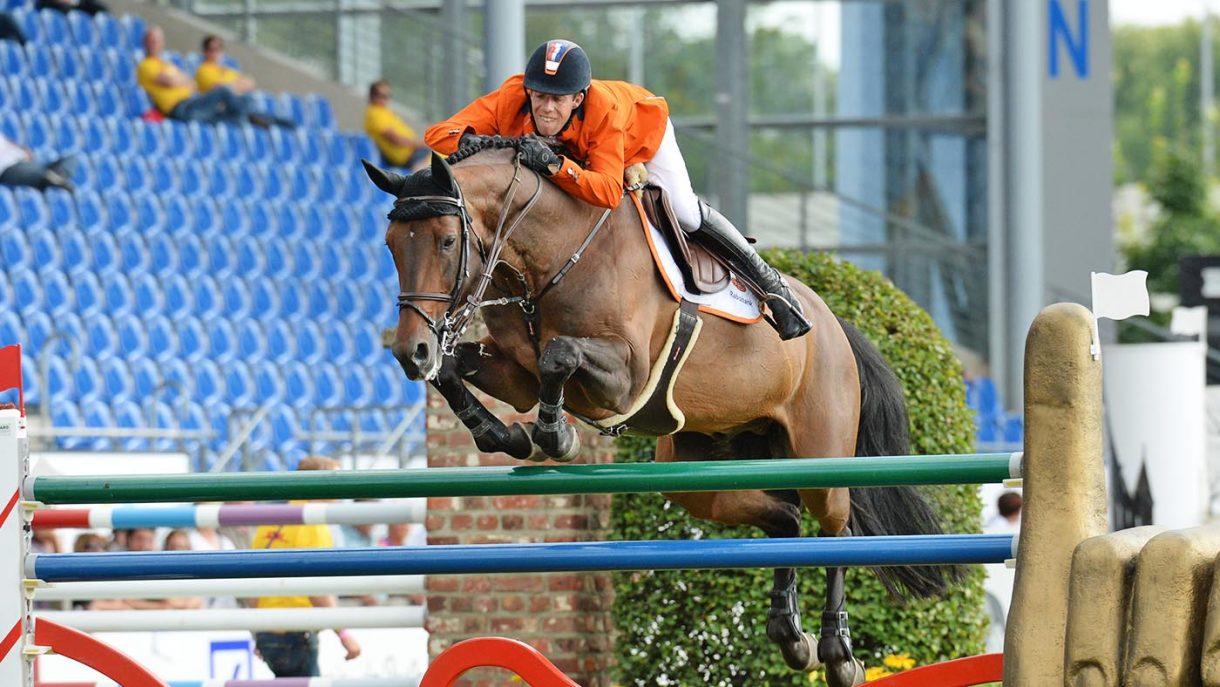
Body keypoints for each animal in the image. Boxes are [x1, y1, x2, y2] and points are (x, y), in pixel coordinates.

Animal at [363, 141, 957, 686]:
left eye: (446, 240)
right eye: (390, 245)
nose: (411, 351)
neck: (552, 256)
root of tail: (834, 324)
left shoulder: (623, 377)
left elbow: (559, 355)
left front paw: (554, 436)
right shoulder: (518, 376)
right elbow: (457, 371)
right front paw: (499, 433)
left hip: (820, 457)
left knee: (836, 529)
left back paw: (837, 653)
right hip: (703, 474)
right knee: (785, 517)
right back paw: (790, 636)